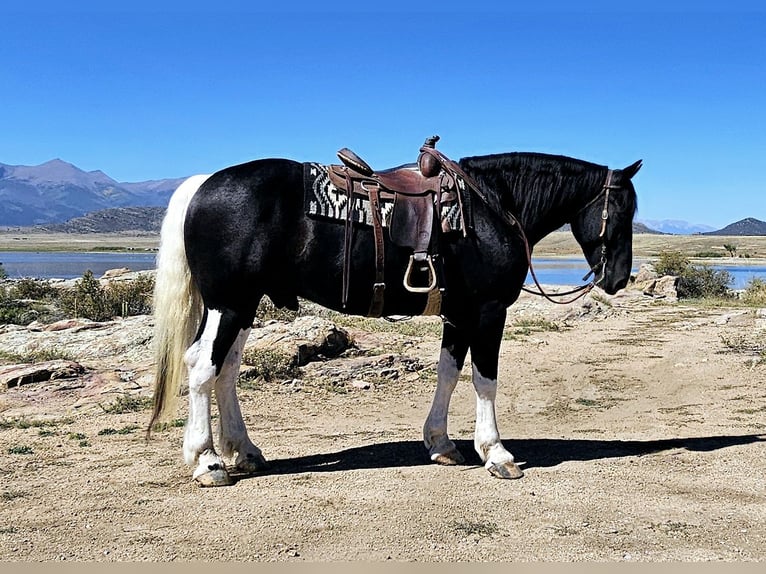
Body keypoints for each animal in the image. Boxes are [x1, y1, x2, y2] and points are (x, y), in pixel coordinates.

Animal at [148, 146, 640, 488]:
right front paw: (496, 454)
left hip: (244, 306)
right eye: (622, 210)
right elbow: (485, 379)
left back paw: (244, 452)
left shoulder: (458, 315)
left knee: (227, 370)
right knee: (202, 368)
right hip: (229, 305)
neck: (493, 207)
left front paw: (441, 444)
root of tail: (202, 184)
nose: (618, 278)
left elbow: (448, 373)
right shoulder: (487, 311)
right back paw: (208, 461)